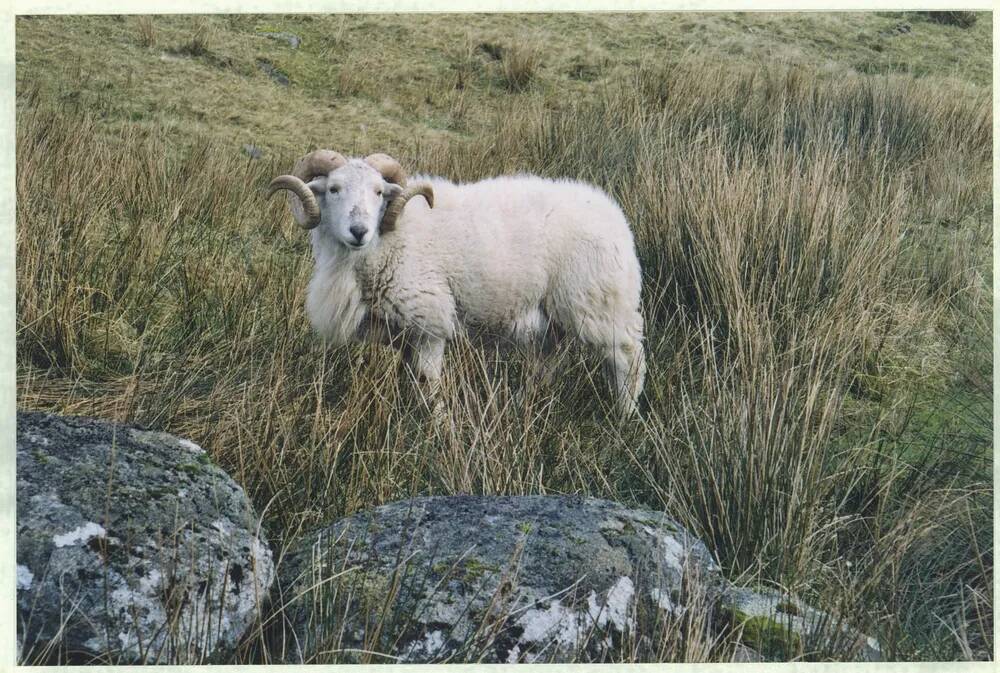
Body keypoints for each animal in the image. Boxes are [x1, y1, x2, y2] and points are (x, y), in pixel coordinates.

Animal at [266, 150, 644, 418]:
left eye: (378, 192)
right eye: (333, 189)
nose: (359, 231)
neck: (386, 241)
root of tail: (615, 216)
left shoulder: (430, 320)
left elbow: (428, 383)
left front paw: (438, 425)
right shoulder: (404, 332)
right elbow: (409, 380)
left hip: (597, 302)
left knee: (627, 355)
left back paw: (624, 417)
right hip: (554, 317)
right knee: (547, 363)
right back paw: (522, 405)